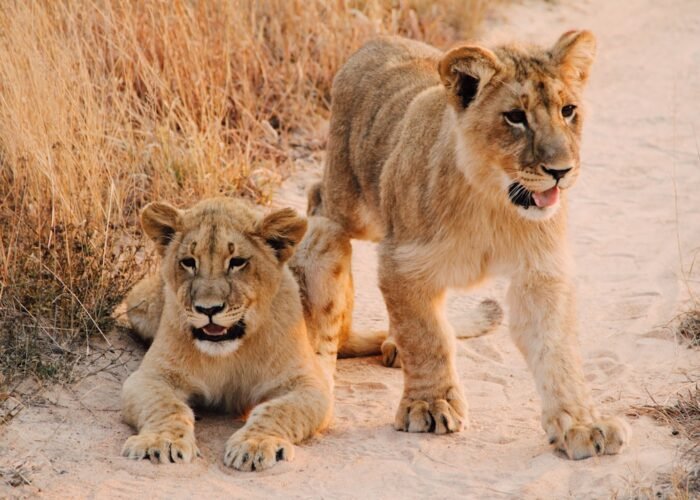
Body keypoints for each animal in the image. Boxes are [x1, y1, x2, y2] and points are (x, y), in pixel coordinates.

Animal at [120, 197, 382, 471]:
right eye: (189, 262)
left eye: (237, 262)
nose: (208, 309)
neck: (228, 353)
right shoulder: (150, 377)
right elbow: (166, 406)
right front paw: (161, 441)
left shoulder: (306, 384)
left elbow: (278, 410)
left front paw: (255, 444)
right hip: (138, 300)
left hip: (324, 232)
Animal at [312, 32, 630, 460]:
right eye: (515, 117)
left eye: (568, 111)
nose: (560, 171)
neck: (491, 200)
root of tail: (379, 38)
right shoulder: (404, 261)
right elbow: (426, 336)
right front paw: (430, 405)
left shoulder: (540, 272)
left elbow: (557, 350)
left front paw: (581, 425)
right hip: (349, 202)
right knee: (317, 197)